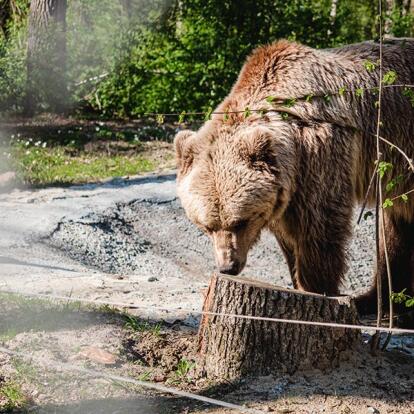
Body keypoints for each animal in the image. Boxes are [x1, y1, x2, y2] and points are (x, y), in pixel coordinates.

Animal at [175, 40, 414, 316]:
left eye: (241, 222)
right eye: (207, 226)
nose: (228, 267)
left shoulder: (320, 155)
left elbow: (319, 226)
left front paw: (316, 288)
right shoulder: (285, 190)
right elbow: (288, 236)